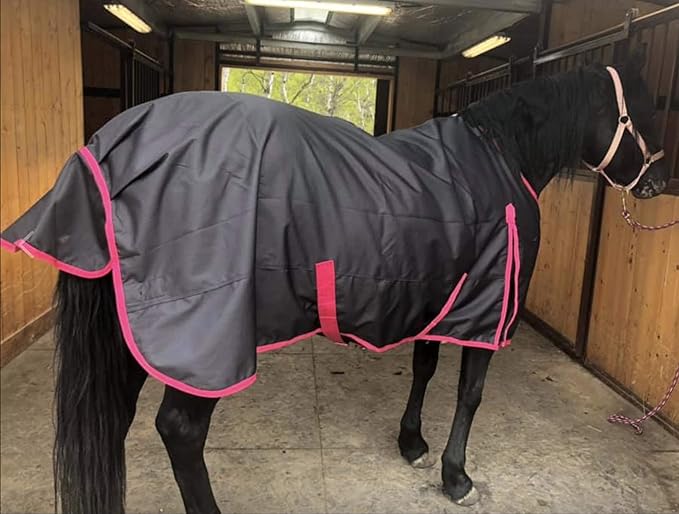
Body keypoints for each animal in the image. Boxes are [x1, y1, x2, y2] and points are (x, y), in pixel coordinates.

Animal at [0, 51, 669, 514]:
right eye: (645, 108)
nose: (657, 184)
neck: (501, 156)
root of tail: (110, 146)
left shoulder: (442, 291)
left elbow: (425, 369)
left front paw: (411, 443)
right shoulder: (485, 306)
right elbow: (470, 393)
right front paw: (456, 477)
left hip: (136, 337)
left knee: (114, 422)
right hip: (201, 343)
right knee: (180, 432)